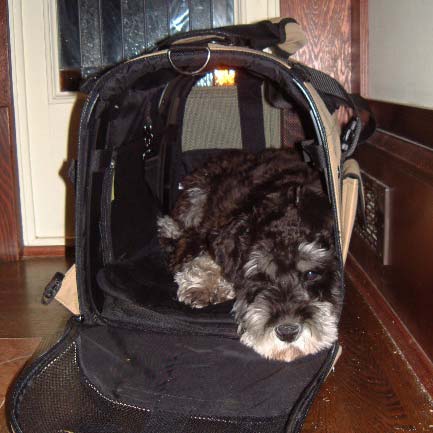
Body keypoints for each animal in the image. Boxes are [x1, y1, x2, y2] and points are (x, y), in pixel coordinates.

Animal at [158, 149, 340, 362]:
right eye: (260, 276)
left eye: (311, 274)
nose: (287, 332)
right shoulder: (215, 227)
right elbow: (206, 255)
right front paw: (200, 286)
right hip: (197, 193)